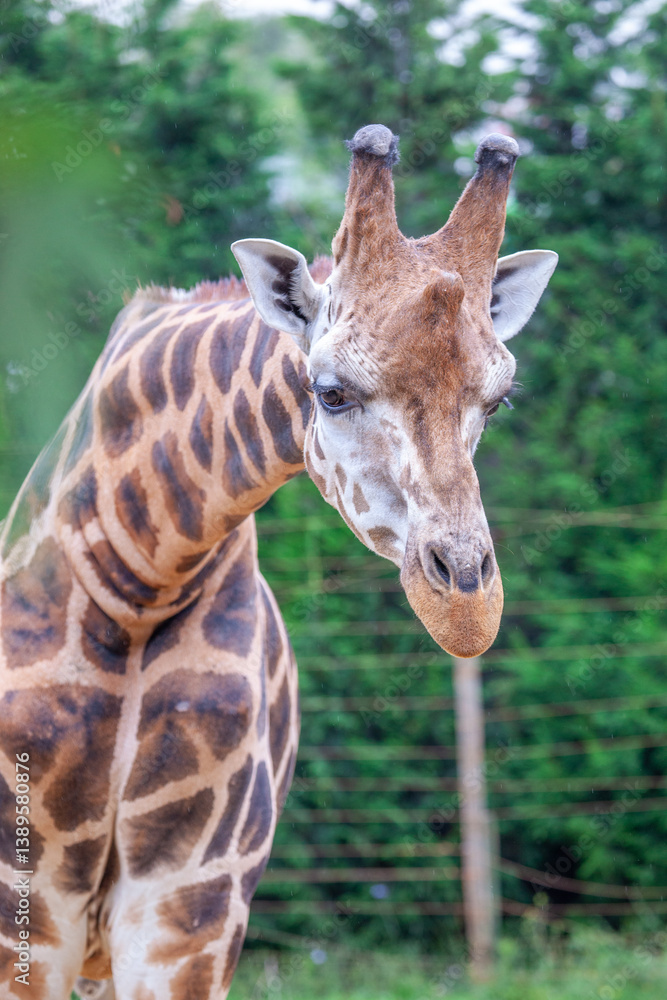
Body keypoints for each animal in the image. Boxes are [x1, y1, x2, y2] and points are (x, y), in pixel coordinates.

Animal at [0, 124, 557, 999]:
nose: (466, 608)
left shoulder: (191, 909)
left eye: (496, 399)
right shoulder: (27, 911)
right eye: (329, 392)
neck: (137, 585)